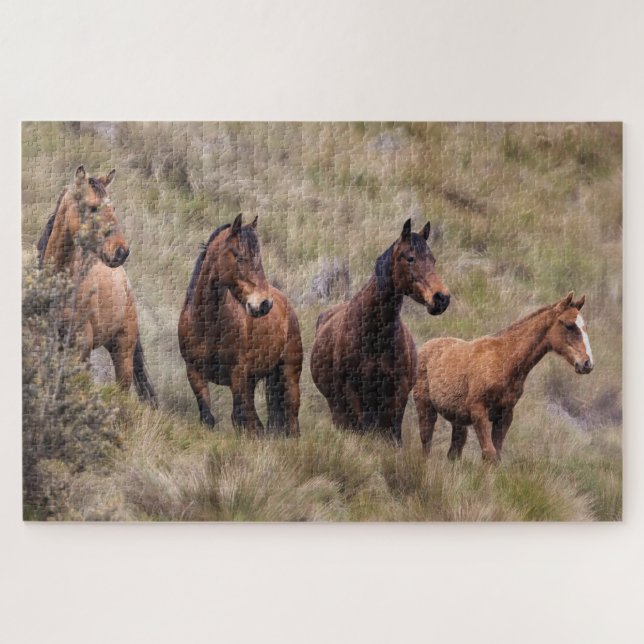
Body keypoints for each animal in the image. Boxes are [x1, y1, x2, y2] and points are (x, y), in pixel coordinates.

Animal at [37, 165, 156, 403]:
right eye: (92, 207)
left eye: (113, 207)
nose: (121, 251)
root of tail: (125, 283)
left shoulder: (81, 347)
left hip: (122, 352)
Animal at [178, 213, 303, 436]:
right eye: (239, 256)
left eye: (258, 258)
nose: (264, 304)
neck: (207, 325)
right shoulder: (194, 373)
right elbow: (209, 417)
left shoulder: (237, 374)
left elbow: (240, 418)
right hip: (251, 382)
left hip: (289, 376)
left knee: (291, 421)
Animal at [310, 218, 450, 445]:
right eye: (410, 258)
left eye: (433, 259)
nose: (441, 298)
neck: (373, 333)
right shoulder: (352, 392)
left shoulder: (397, 393)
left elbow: (394, 435)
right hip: (338, 406)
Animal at [413, 292, 594, 462]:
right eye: (569, 325)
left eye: (585, 327)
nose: (587, 363)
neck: (505, 361)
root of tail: (426, 347)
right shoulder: (478, 411)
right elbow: (490, 454)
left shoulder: (504, 415)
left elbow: (496, 455)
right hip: (426, 407)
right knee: (426, 443)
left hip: (457, 420)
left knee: (453, 452)